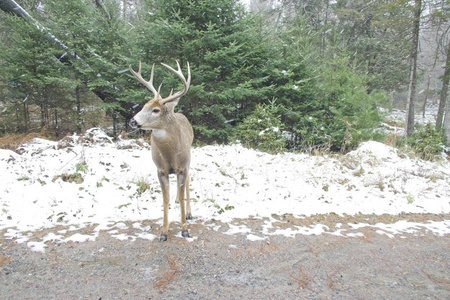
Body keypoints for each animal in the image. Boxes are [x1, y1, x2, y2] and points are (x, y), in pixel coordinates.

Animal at [129, 60, 194, 241]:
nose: (132, 121)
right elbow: (164, 199)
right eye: (143, 105)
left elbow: (182, 193)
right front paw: (164, 232)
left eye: (156, 110)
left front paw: (184, 229)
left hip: (189, 158)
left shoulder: (182, 167)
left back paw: (189, 213)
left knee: (188, 183)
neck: (170, 154)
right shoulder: (160, 170)